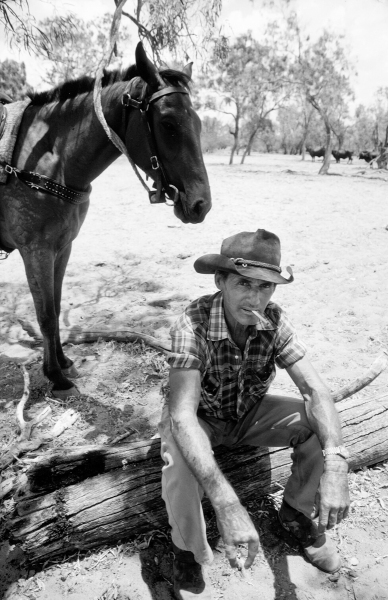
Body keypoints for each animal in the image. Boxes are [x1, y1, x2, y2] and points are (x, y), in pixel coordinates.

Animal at [0, 42, 212, 398]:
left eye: (198, 124)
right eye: (168, 124)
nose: (201, 205)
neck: (46, 161)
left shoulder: (62, 248)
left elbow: (57, 306)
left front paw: (63, 362)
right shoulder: (36, 251)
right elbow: (46, 315)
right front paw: (55, 376)